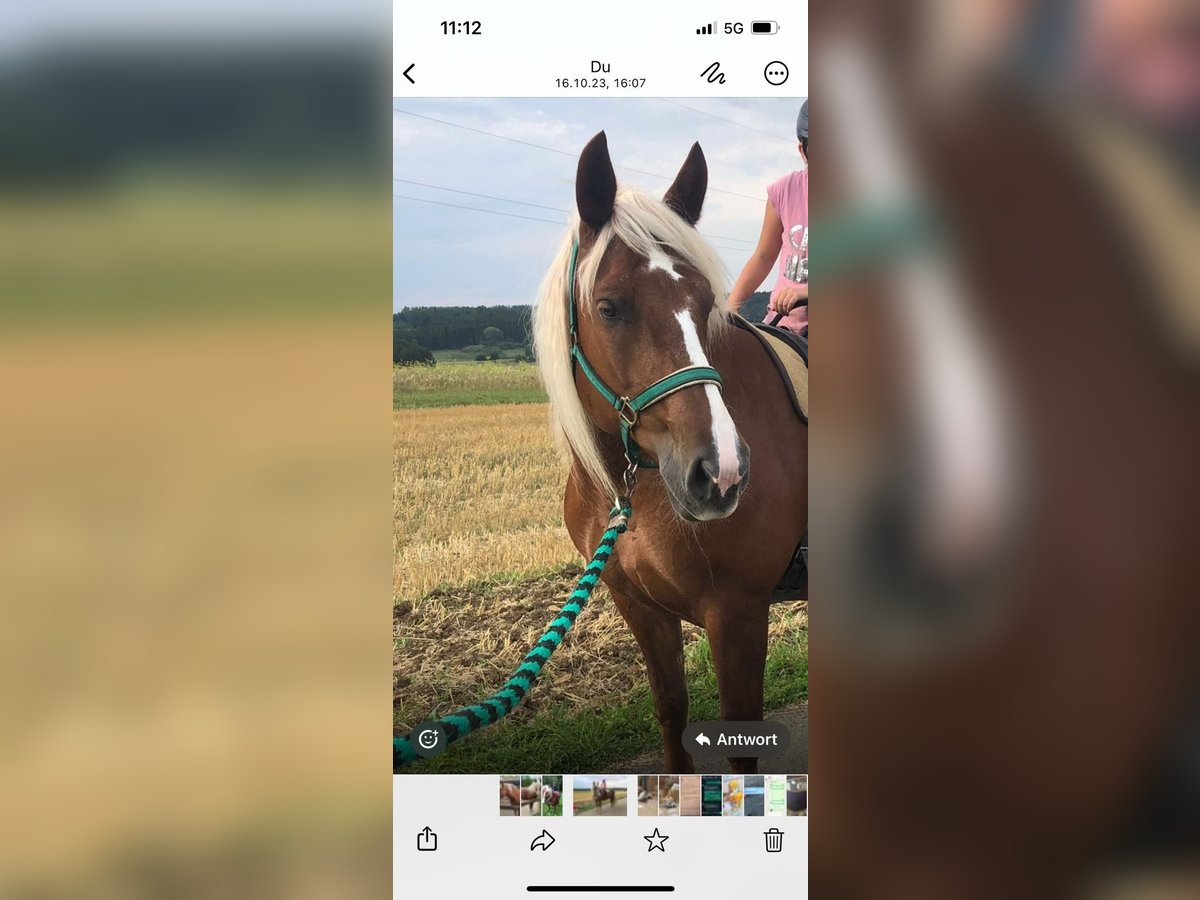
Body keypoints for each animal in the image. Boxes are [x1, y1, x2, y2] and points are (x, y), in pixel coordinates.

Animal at [532, 132, 808, 774]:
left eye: (704, 304)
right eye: (609, 306)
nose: (721, 473)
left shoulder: (737, 612)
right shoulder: (638, 606)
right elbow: (671, 710)